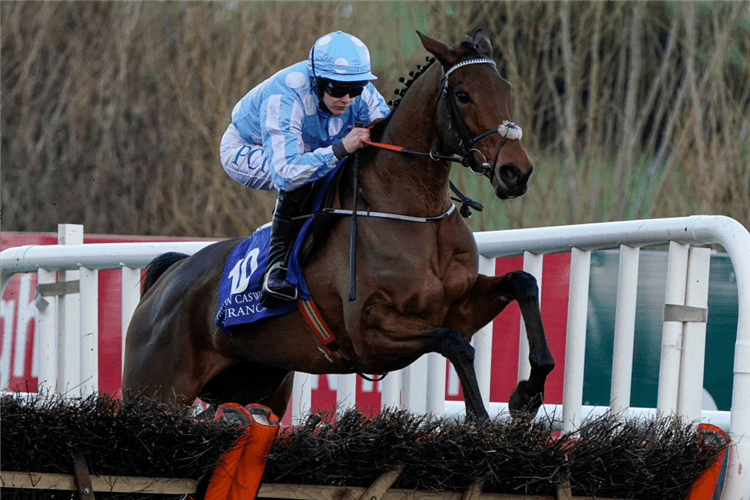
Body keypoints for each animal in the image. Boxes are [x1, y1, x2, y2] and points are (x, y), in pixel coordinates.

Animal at [123, 29, 556, 420]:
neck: (414, 212)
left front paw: (527, 394)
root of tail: (170, 277)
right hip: (155, 390)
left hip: (258, 387)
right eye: (463, 95)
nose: (516, 172)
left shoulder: (457, 306)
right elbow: (457, 344)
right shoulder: (370, 332)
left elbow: (523, 283)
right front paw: (482, 420)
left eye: (506, 90)